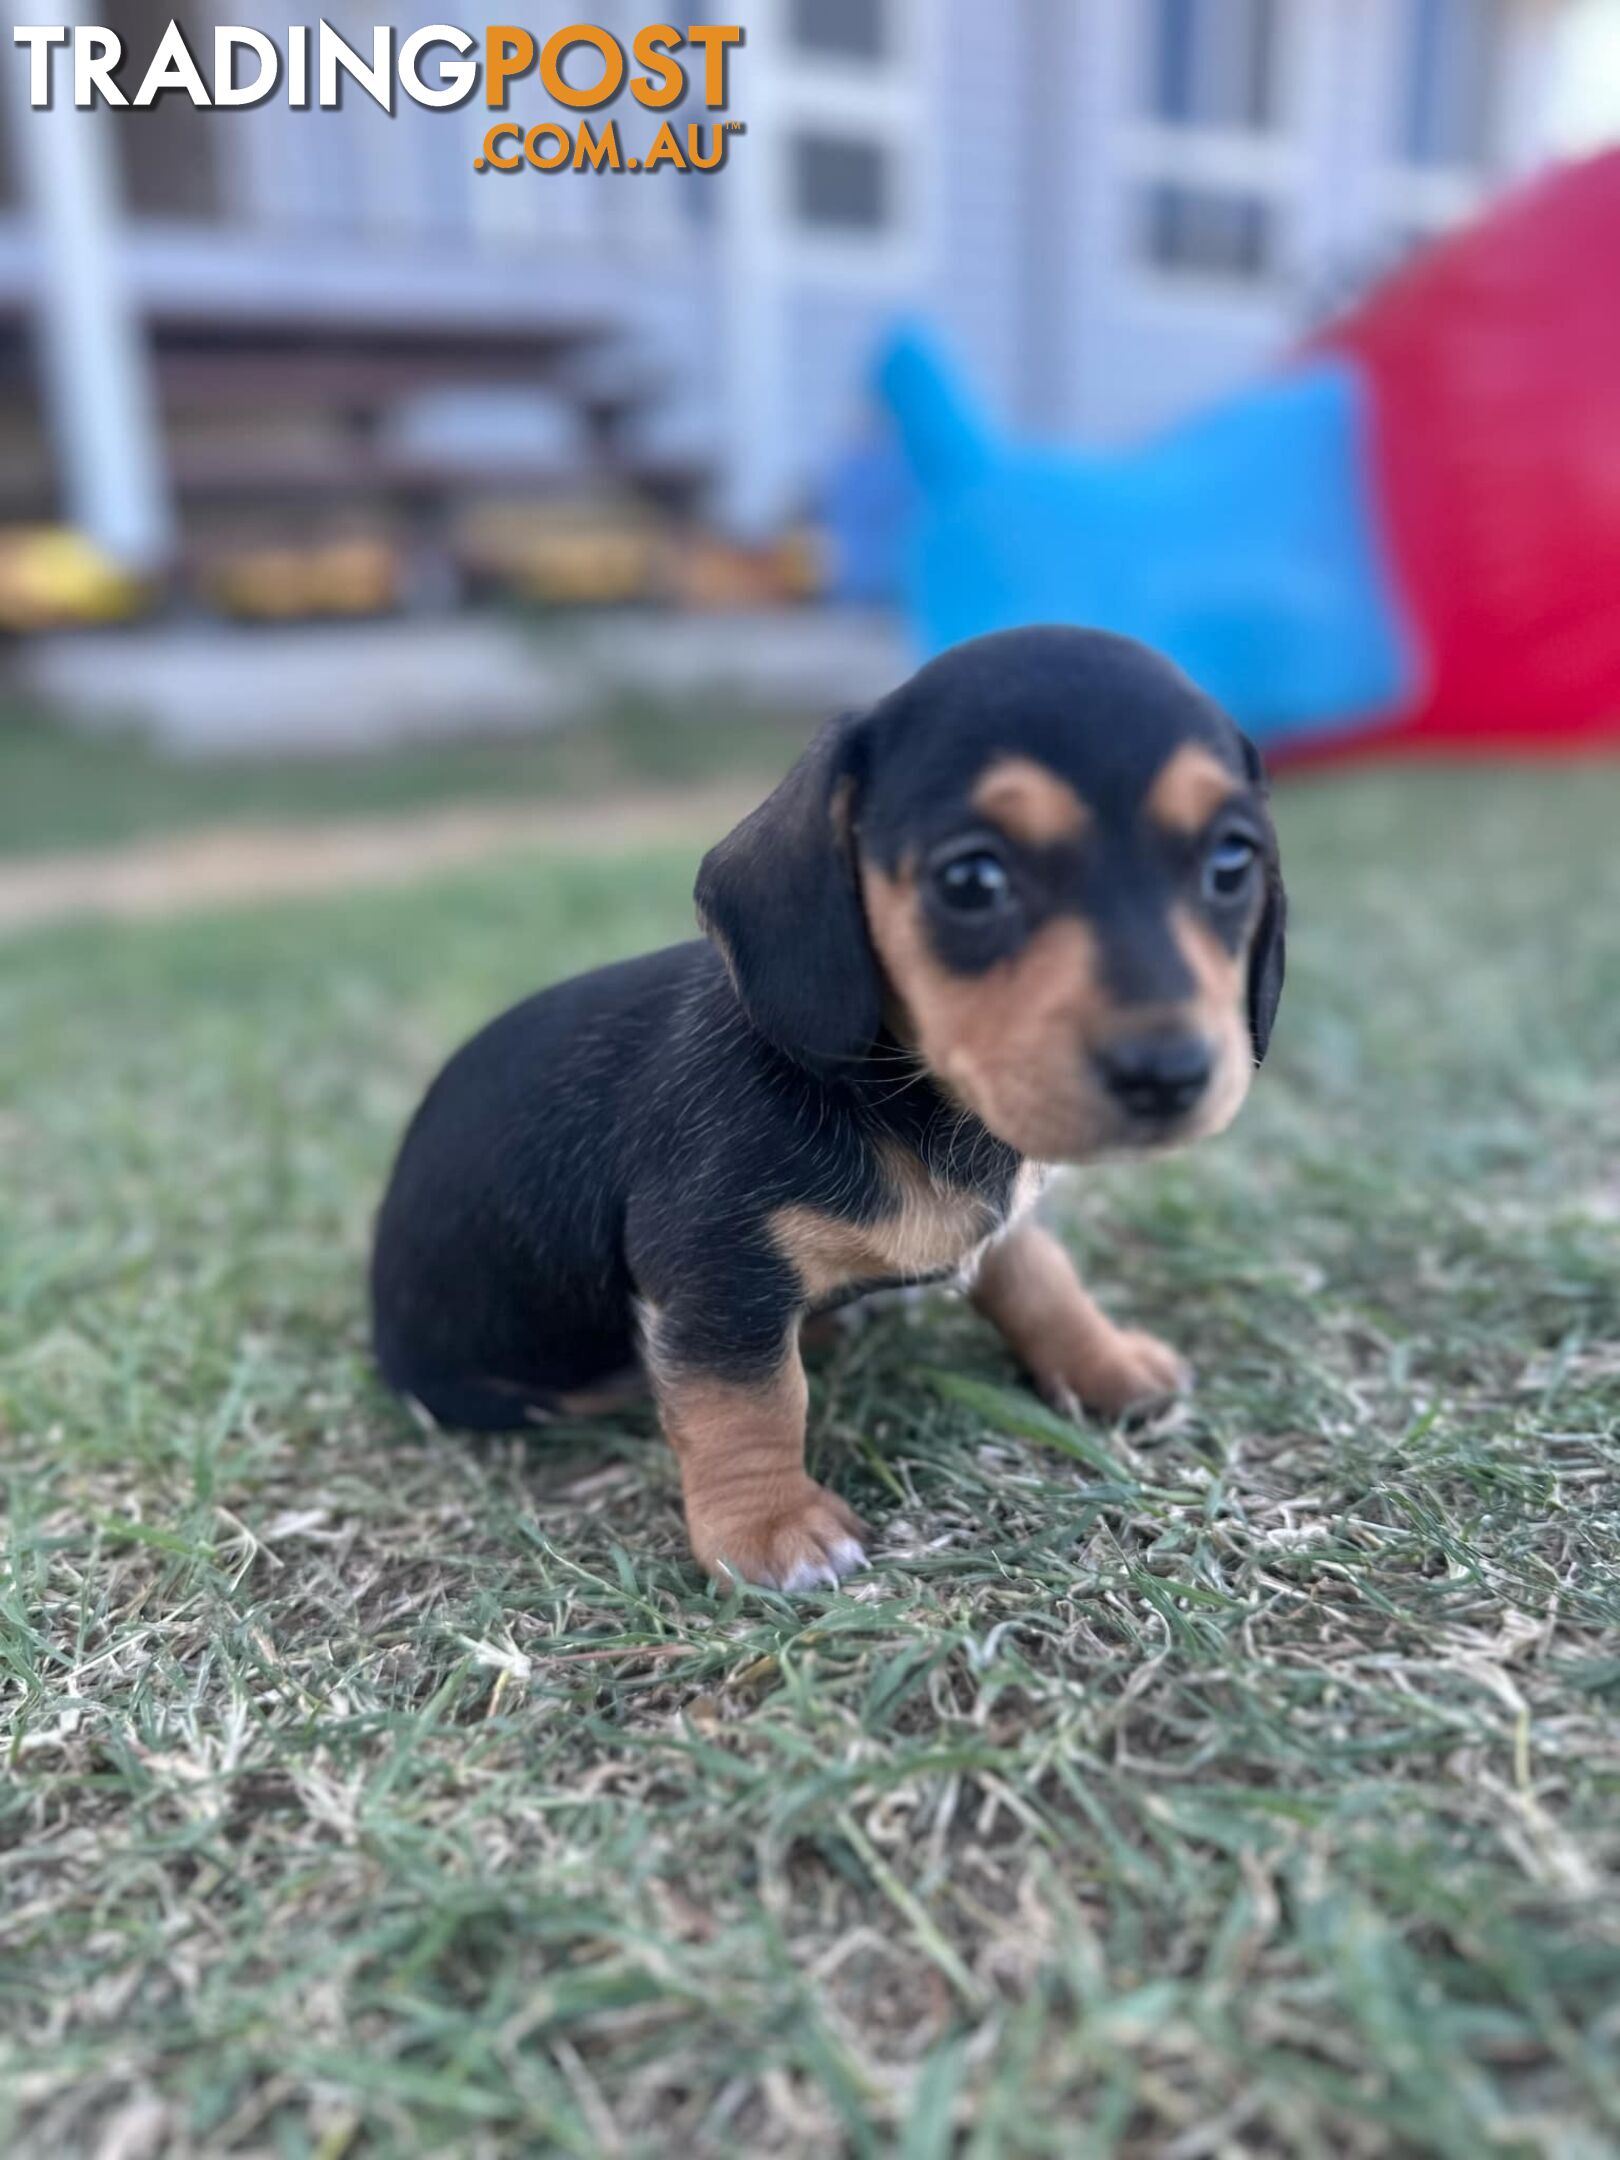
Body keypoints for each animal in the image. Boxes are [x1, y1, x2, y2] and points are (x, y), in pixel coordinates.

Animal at [371, 626, 1296, 1589]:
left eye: (1233, 862)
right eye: (971, 879)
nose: (1170, 1074)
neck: (895, 1094)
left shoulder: (1003, 1228)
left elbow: (1045, 1283)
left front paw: (1107, 1363)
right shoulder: (718, 1277)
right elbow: (748, 1402)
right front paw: (770, 1526)